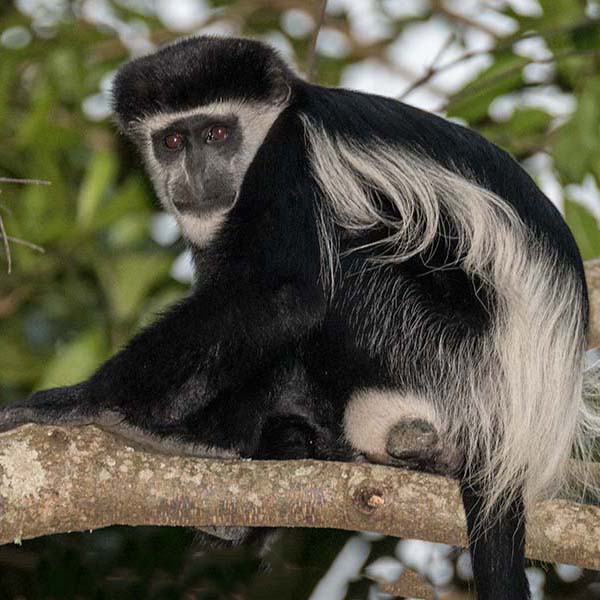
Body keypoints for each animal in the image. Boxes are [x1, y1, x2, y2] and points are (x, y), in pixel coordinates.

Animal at [2, 35, 596, 596]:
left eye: (216, 134)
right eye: (172, 141)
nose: (194, 173)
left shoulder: (292, 160)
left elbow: (283, 294)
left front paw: (79, 400)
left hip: (441, 351)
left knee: (346, 267)